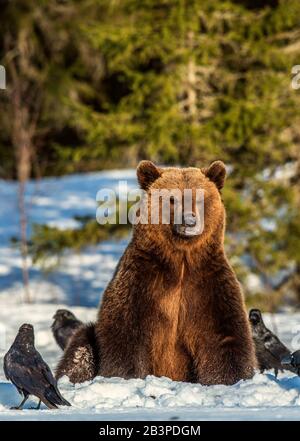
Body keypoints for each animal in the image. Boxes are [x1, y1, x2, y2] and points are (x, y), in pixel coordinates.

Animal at [55, 160, 255, 384]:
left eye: (200, 197)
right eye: (172, 199)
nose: (189, 221)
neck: (181, 260)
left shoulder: (208, 283)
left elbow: (225, 338)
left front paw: (230, 378)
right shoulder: (142, 281)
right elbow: (125, 334)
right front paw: (126, 376)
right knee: (80, 348)